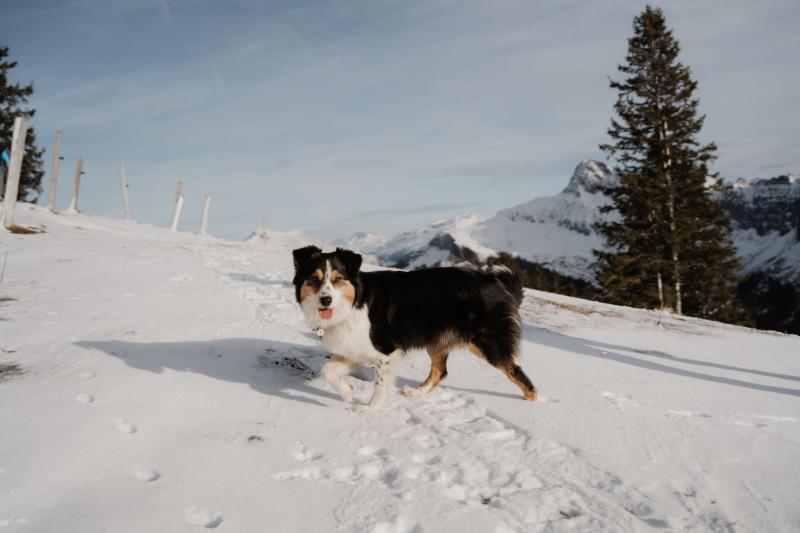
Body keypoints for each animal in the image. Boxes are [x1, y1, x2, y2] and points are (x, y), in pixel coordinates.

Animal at [290, 245, 536, 408]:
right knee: (439, 371)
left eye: (338, 278)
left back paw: (533, 400)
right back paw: (417, 393)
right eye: (314, 278)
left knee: (515, 369)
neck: (354, 303)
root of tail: (499, 284)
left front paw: (368, 411)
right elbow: (327, 370)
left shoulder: (385, 351)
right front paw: (348, 393)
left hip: (486, 342)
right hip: (437, 341)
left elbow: (379, 385)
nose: (325, 300)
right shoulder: (353, 349)